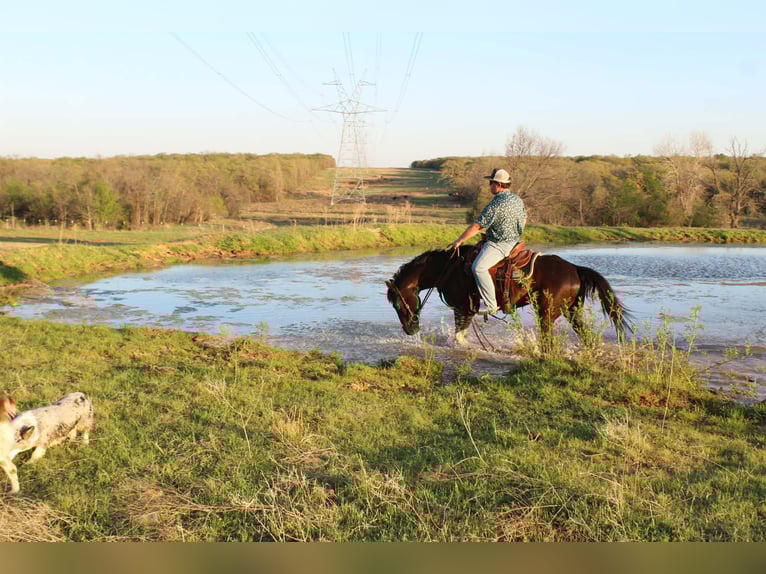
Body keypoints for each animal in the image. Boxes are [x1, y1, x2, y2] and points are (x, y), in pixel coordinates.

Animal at [385, 245, 632, 350]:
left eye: (397, 304)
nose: (410, 330)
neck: (447, 268)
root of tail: (574, 268)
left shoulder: (464, 307)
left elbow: (458, 336)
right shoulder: (464, 309)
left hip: (546, 313)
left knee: (548, 341)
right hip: (571, 311)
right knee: (585, 336)